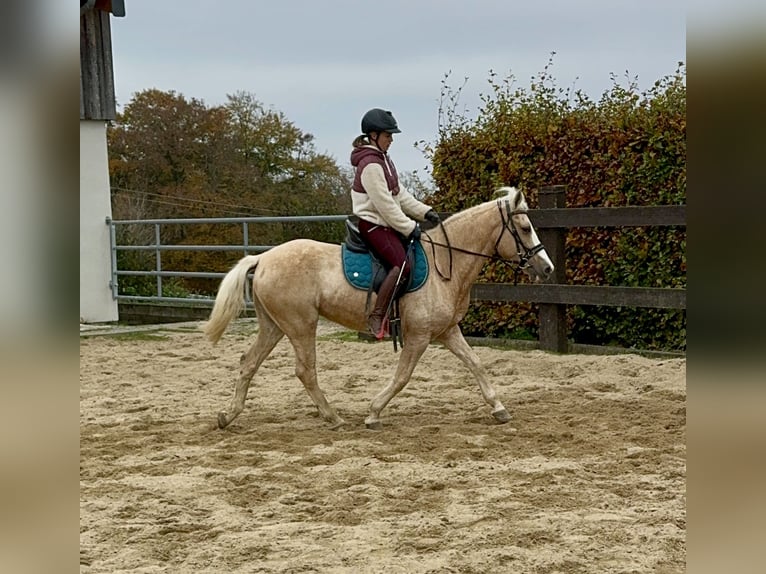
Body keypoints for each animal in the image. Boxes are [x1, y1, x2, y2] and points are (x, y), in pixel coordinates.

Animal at [201, 188, 556, 432]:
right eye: (525, 228)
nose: (547, 268)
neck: (445, 263)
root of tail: (263, 258)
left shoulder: (447, 331)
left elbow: (476, 364)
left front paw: (498, 408)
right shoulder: (419, 336)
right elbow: (402, 376)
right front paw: (373, 412)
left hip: (275, 326)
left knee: (248, 362)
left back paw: (228, 415)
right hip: (301, 326)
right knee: (305, 371)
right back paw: (333, 417)